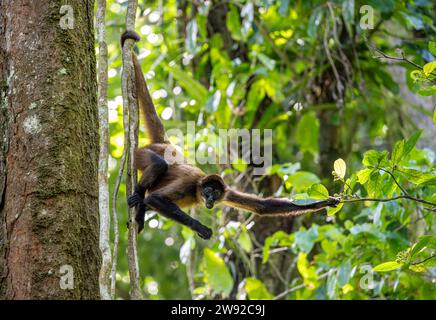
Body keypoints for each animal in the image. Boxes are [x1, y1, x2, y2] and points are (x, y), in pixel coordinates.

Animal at [122, 30, 340, 240]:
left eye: (216, 193)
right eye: (208, 191)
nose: (210, 199)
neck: (197, 190)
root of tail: (165, 144)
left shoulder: (227, 193)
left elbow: (263, 207)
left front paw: (325, 202)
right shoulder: (188, 183)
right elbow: (155, 198)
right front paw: (201, 228)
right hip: (140, 153)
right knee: (158, 165)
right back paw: (139, 201)